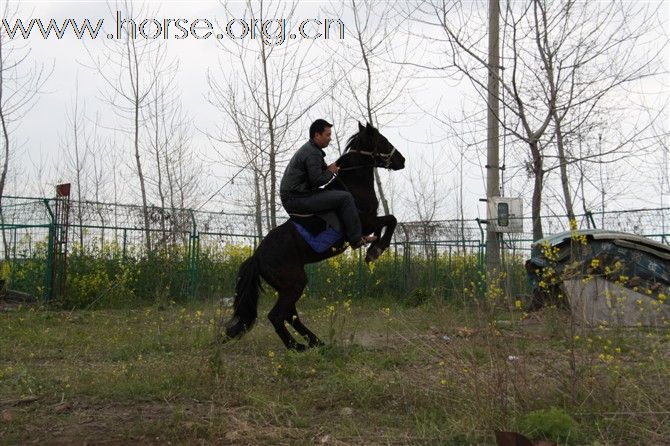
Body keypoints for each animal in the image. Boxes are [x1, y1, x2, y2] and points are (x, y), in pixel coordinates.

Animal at [223, 123, 406, 352]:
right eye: (382, 141)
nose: (402, 160)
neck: (353, 187)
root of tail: (256, 257)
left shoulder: (370, 224)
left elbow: (387, 224)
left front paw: (373, 249)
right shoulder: (365, 222)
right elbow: (391, 220)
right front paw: (375, 251)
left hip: (288, 286)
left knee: (290, 315)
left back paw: (316, 342)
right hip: (294, 283)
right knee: (277, 316)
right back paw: (298, 347)